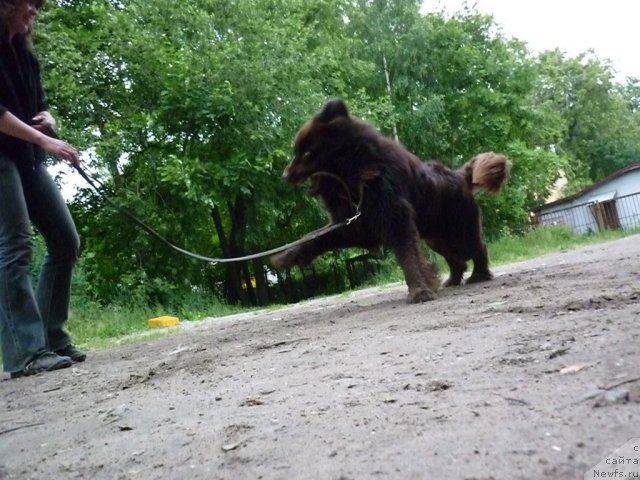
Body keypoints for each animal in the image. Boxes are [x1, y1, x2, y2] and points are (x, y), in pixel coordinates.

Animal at [270, 100, 510, 304]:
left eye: (307, 153)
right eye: (296, 152)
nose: (284, 175)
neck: (355, 176)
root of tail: (460, 174)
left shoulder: (396, 220)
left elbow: (408, 258)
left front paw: (420, 291)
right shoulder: (352, 223)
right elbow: (314, 237)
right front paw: (285, 256)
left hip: (460, 231)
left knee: (477, 247)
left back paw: (479, 275)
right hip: (436, 237)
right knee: (456, 259)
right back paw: (452, 280)